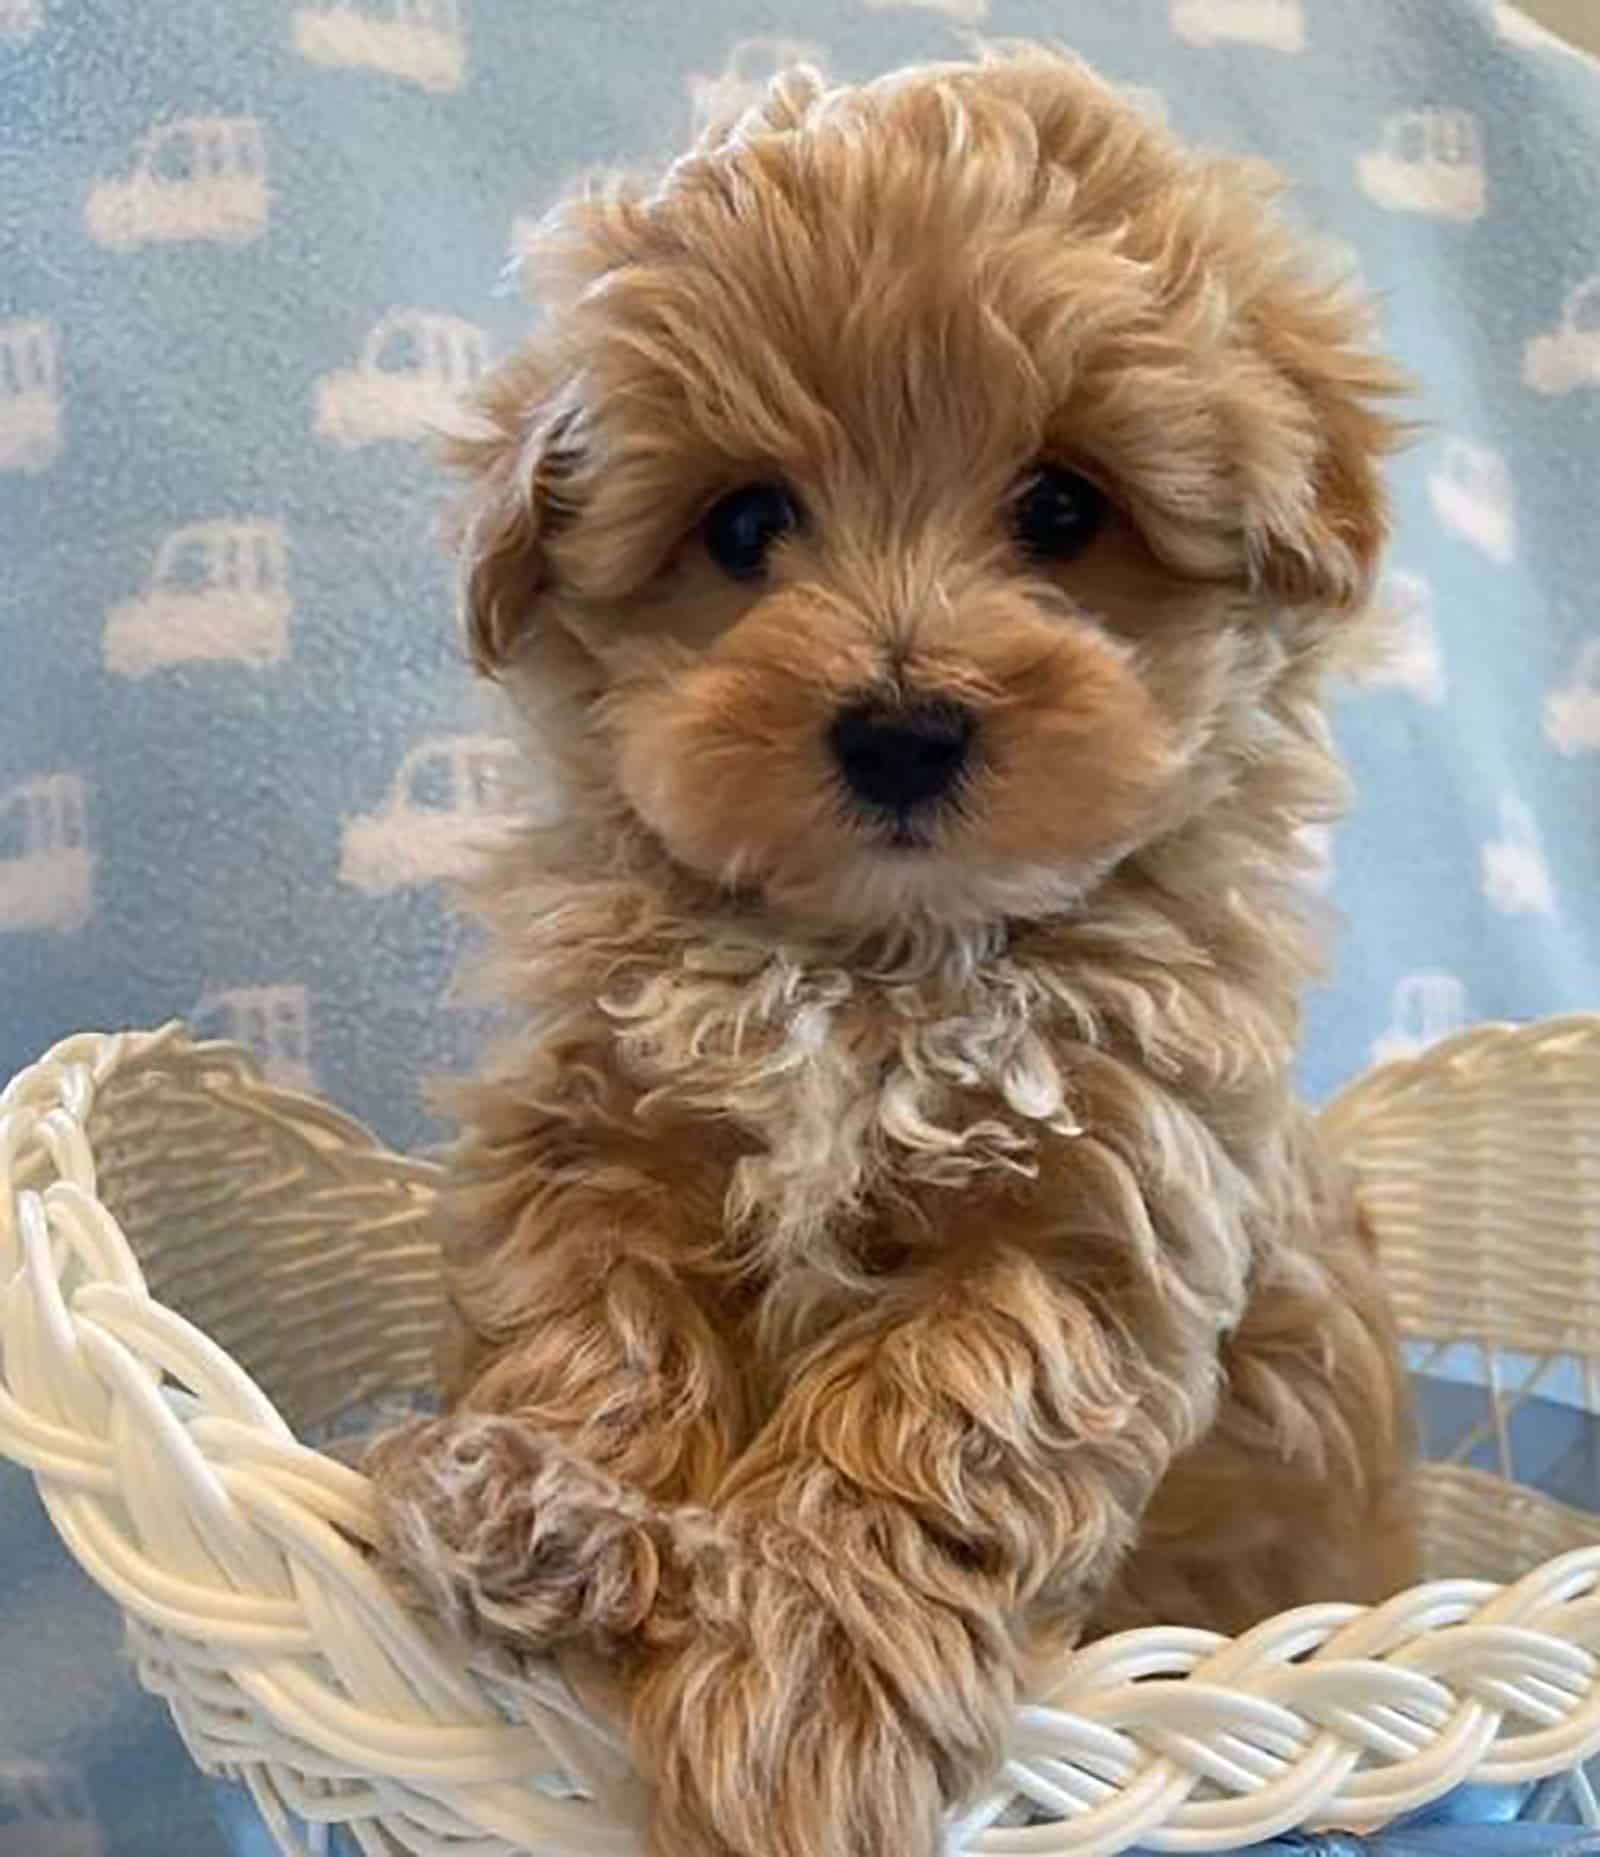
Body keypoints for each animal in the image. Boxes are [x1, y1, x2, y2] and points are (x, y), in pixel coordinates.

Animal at [369, 39, 1425, 1857]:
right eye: (742, 528)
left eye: (1065, 507)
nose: (903, 727)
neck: (874, 970)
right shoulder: (603, 1116)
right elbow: (589, 1311)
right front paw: (539, 1498)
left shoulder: (1097, 1204)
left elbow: (938, 1422)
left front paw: (797, 1694)